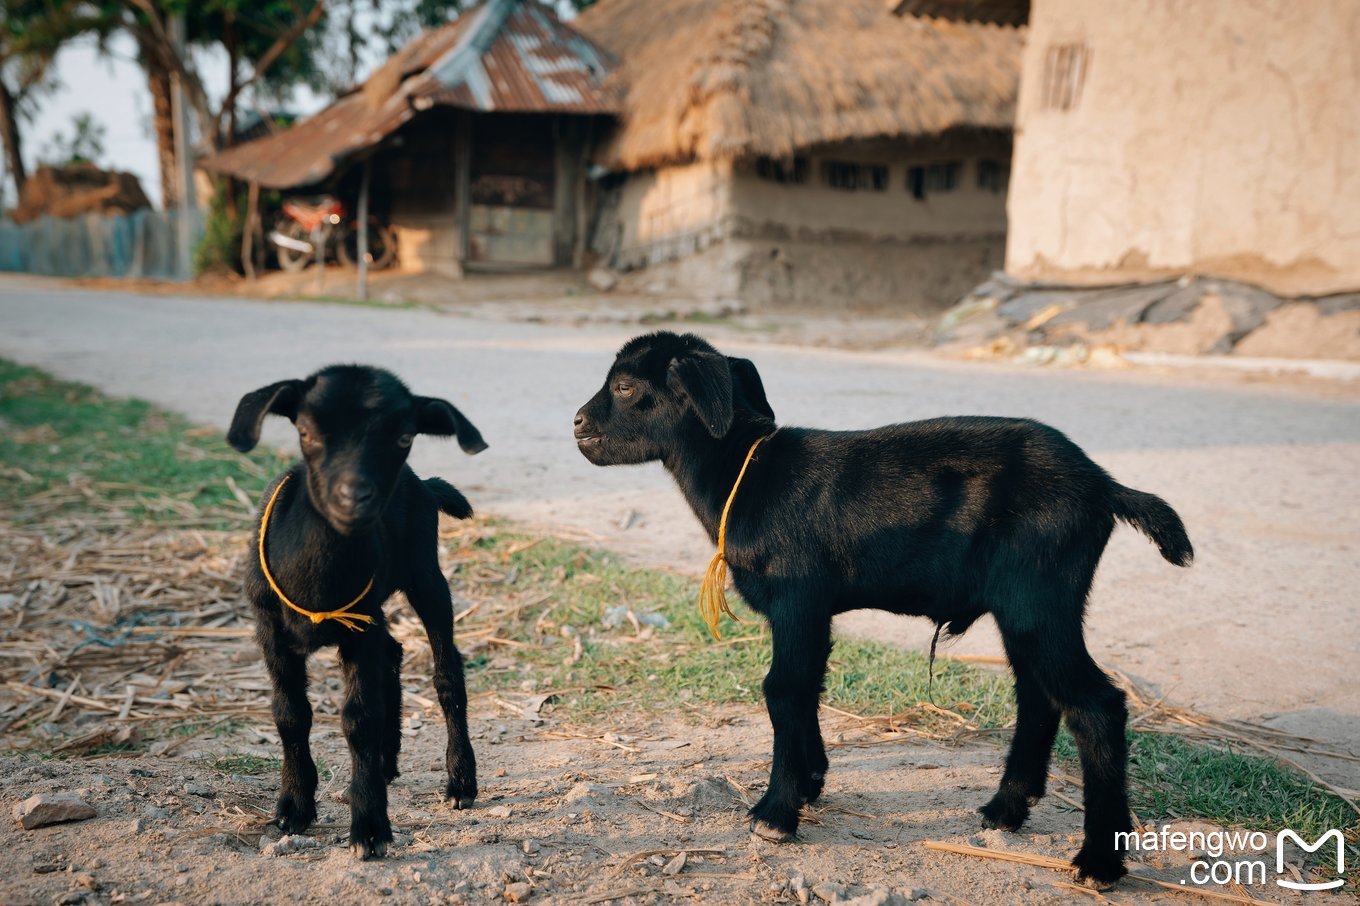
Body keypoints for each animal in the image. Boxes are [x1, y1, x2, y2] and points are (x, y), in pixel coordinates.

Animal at [228, 364, 489, 859]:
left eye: (405, 435)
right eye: (306, 432)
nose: (355, 498)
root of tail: (423, 485)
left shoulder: (359, 631)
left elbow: (358, 719)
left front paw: (369, 828)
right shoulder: (270, 629)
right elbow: (289, 713)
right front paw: (293, 807)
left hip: (425, 575)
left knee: (447, 671)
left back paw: (460, 781)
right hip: (376, 610)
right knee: (393, 651)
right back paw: (386, 762)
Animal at [573, 331, 1191, 881]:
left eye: (626, 386)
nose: (577, 424)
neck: (746, 476)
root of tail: (1103, 485)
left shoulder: (797, 598)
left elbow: (782, 689)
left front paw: (775, 813)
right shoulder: (814, 609)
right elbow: (808, 686)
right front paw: (812, 781)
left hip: (1040, 597)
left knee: (1095, 705)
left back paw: (1100, 861)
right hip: (1029, 606)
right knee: (1038, 695)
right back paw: (1005, 809)